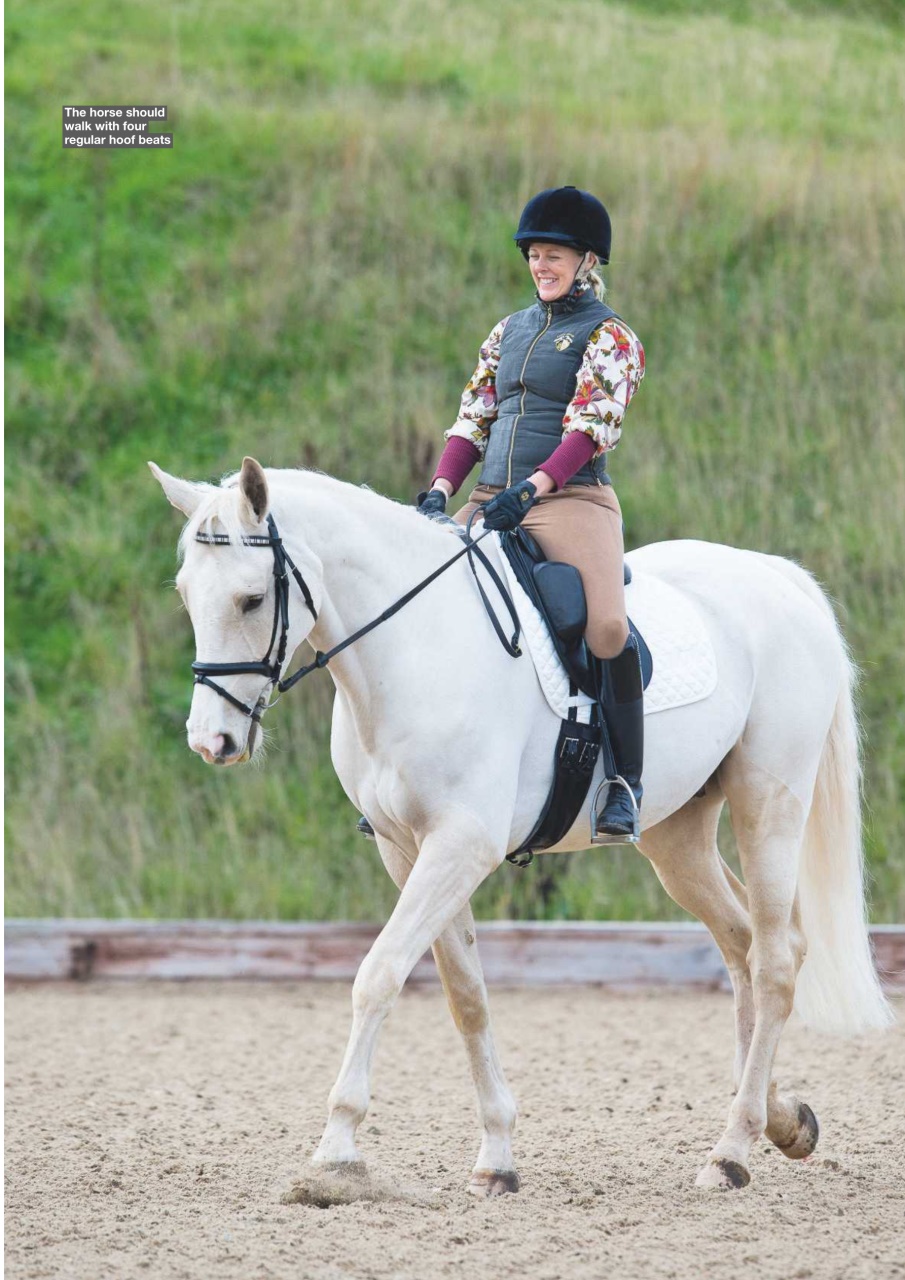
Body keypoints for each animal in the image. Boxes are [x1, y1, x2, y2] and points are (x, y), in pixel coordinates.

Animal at [150, 456, 892, 1195]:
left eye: (251, 600)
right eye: (187, 595)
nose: (211, 742)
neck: (413, 648)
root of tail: (779, 577)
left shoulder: (460, 845)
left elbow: (379, 973)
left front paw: (336, 1152)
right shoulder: (408, 849)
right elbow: (467, 996)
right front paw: (497, 1157)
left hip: (768, 803)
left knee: (774, 962)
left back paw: (732, 1150)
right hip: (676, 836)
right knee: (743, 947)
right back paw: (779, 1121)